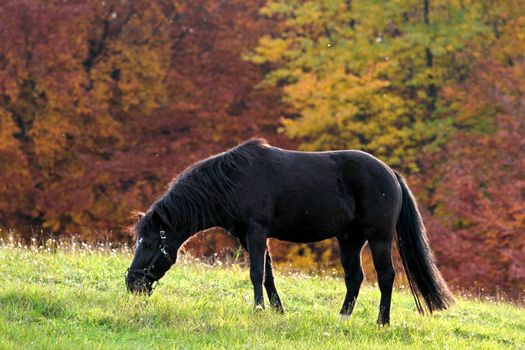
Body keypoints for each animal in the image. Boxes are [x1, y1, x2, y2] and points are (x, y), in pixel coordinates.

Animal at [125, 139, 452, 326]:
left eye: (149, 242)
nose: (131, 283)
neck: (232, 181)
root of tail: (391, 174)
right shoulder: (249, 237)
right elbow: (268, 275)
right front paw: (277, 310)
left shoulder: (256, 233)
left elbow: (256, 273)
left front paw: (258, 309)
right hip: (349, 239)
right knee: (354, 278)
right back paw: (343, 317)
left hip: (379, 237)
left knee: (385, 277)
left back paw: (382, 321)